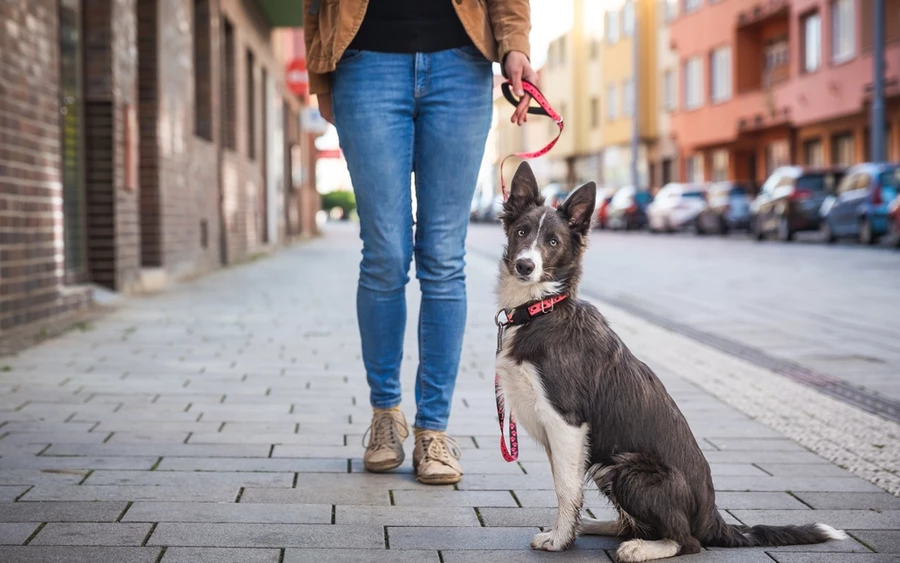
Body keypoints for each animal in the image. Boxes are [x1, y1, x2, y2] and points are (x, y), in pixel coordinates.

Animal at [496, 161, 848, 560]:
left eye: (553, 242)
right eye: (522, 232)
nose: (525, 266)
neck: (541, 309)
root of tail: (713, 518)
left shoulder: (566, 423)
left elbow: (565, 489)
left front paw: (560, 540)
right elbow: (566, 486)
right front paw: (568, 531)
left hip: (628, 468)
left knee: (687, 541)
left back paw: (641, 547)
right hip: (607, 466)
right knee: (635, 523)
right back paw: (603, 526)